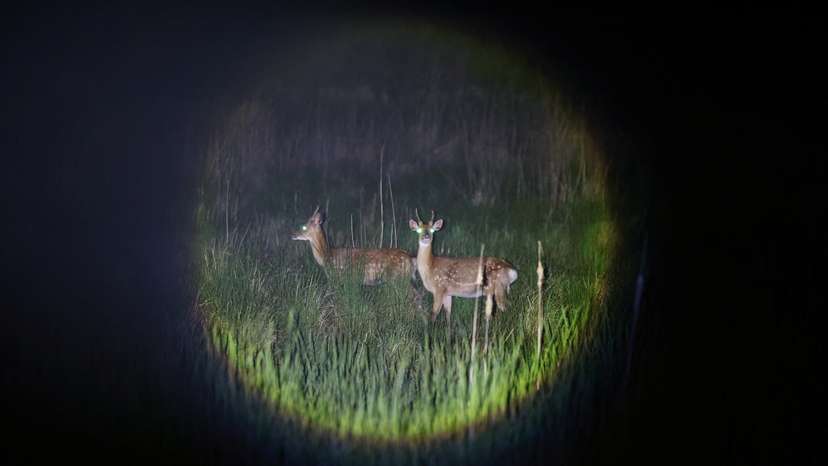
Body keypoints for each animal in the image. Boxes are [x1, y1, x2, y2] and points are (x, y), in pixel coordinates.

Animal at [292, 207, 421, 293]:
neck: (327, 255)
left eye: (304, 227)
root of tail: (411, 259)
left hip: (397, 278)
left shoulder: (338, 278)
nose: (292, 234)